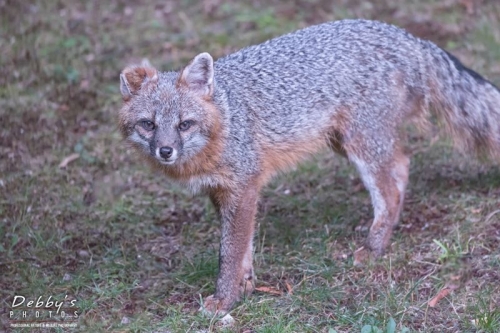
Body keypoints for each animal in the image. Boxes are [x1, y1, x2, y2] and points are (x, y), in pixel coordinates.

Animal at [118, 18, 500, 314]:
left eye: (184, 124)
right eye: (148, 125)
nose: (165, 151)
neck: (226, 119)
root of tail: (405, 36)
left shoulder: (244, 188)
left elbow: (230, 252)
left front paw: (224, 300)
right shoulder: (221, 193)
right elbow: (243, 249)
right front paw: (246, 286)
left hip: (361, 144)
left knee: (391, 186)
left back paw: (374, 247)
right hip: (346, 143)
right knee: (402, 166)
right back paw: (386, 233)